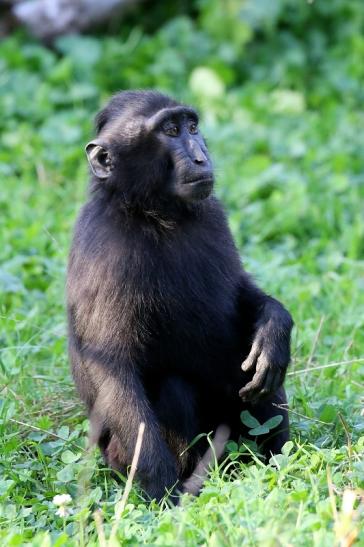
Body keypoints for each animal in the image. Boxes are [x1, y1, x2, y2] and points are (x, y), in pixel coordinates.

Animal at [67, 91, 294, 506]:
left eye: (192, 127)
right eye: (170, 131)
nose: (201, 156)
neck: (154, 214)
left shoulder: (213, 215)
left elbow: (242, 294)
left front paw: (275, 326)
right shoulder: (106, 252)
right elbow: (112, 367)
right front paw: (163, 491)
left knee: (261, 374)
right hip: (120, 457)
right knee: (174, 390)